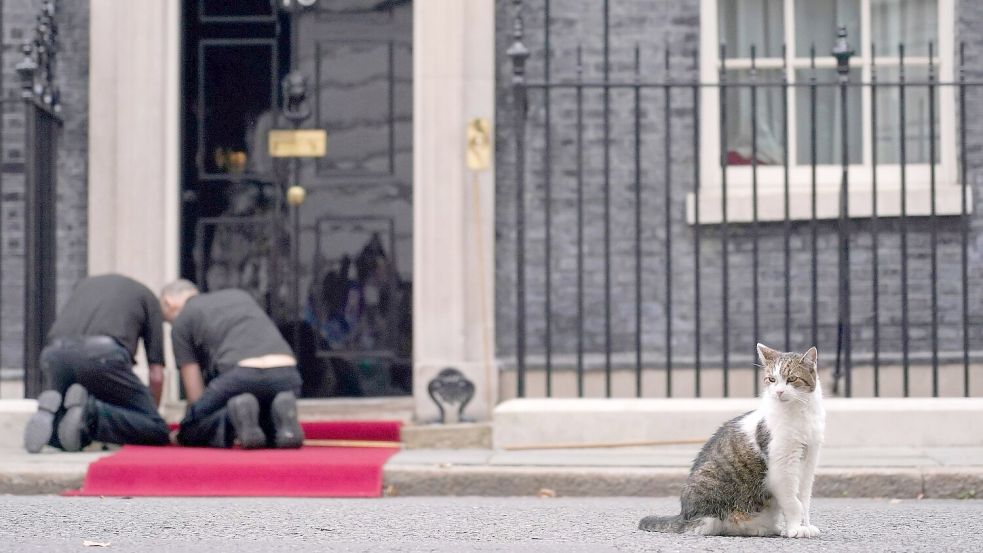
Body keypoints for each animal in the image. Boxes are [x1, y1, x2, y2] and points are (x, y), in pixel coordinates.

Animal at [640, 342, 828, 536]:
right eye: (771, 379)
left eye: (792, 379)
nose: (779, 392)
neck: (799, 413)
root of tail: (684, 515)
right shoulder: (782, 467)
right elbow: (793, 503)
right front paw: (795, 529)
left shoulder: (809, 462)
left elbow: (804, 500)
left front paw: (805, 526)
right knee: (710, 525)